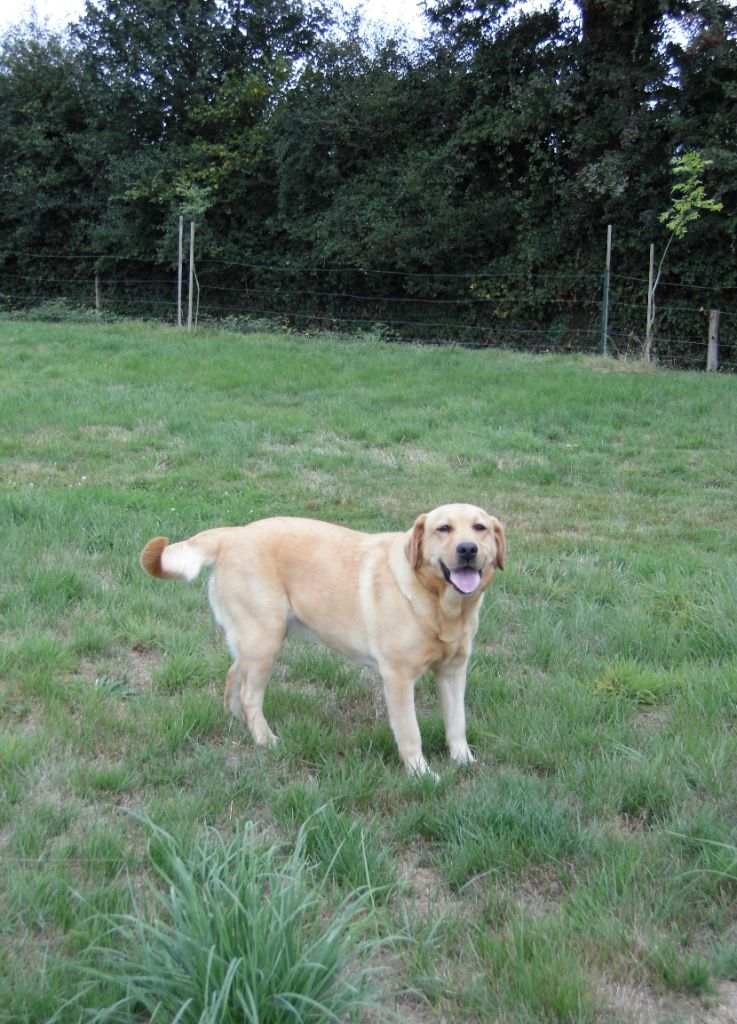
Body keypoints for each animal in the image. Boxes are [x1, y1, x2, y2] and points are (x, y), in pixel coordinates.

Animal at [140, 503, 503, 774]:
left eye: (480, 528)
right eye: (443, 529)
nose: (467, 549)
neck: (441, 606)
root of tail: (234, 532)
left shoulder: (454, 671)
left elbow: (457, 723)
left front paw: (464, 761)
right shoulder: (398, 678)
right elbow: (410, 734)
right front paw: (421, 775)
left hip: (254, 640)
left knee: (234, 677)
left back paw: (238, 721)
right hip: (265, 640)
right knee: (249, 695)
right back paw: (265, 739)